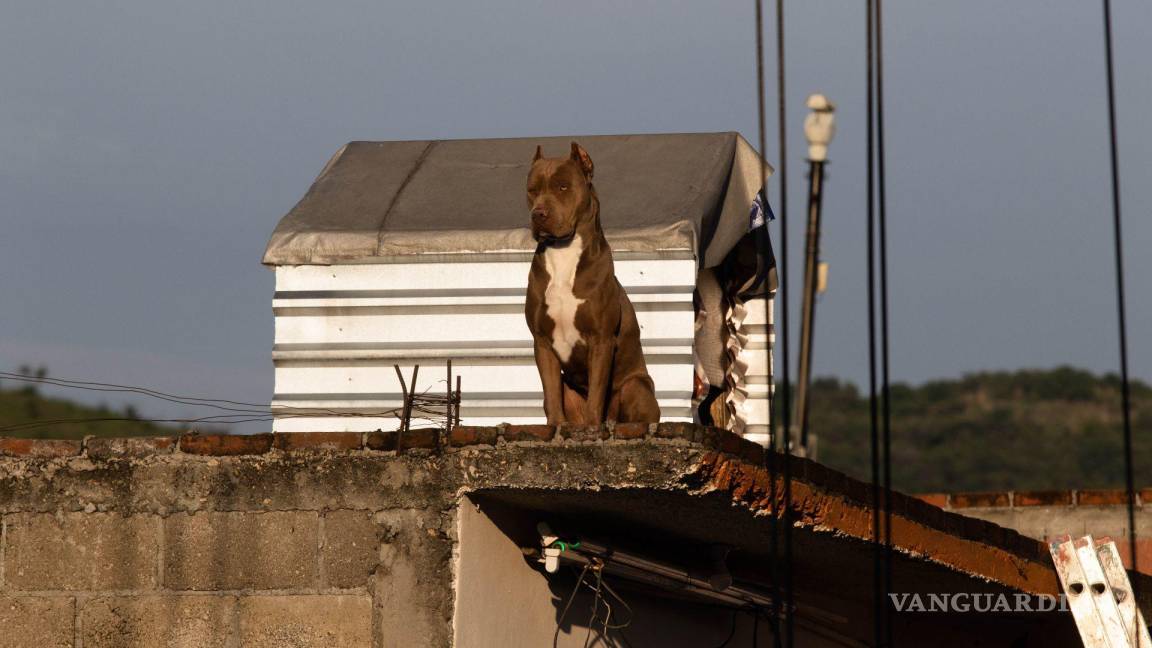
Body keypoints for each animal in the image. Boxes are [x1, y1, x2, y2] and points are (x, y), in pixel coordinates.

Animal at [527, 141, 663, 424]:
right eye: (531, 190)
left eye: (563, 186)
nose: (538, 214)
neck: (564, 252)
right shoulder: (542, 341)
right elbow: (551, 394)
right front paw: (555, 426)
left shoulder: (601, 339)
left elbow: (597, 395)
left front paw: (593, 427)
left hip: (636, 386)